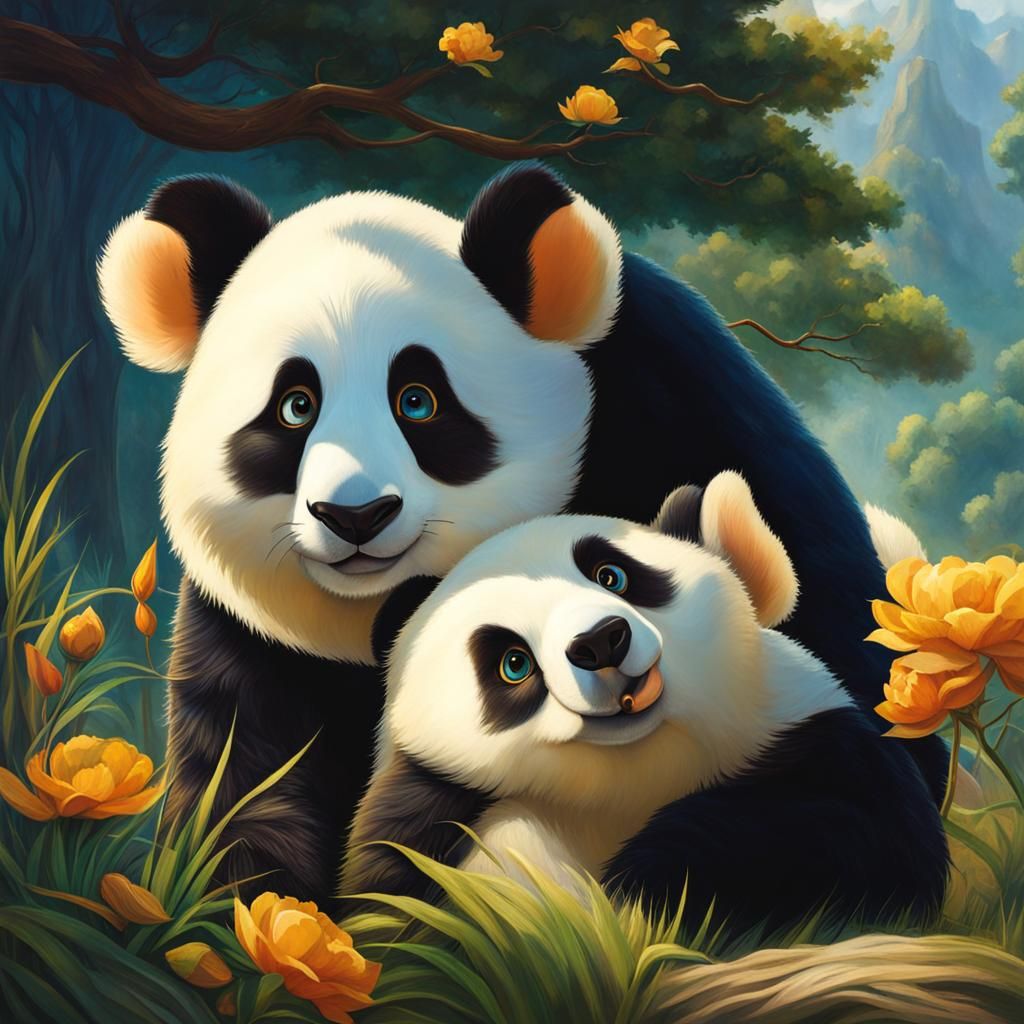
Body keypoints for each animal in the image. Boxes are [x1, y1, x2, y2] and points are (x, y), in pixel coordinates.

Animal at [343, 473, 948, 937]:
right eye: (513, 663)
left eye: (613, 575)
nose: (600, 642)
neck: (631, 772)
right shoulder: (430, 813)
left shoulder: (810, 733)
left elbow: (861, 839)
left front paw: (644, 888)